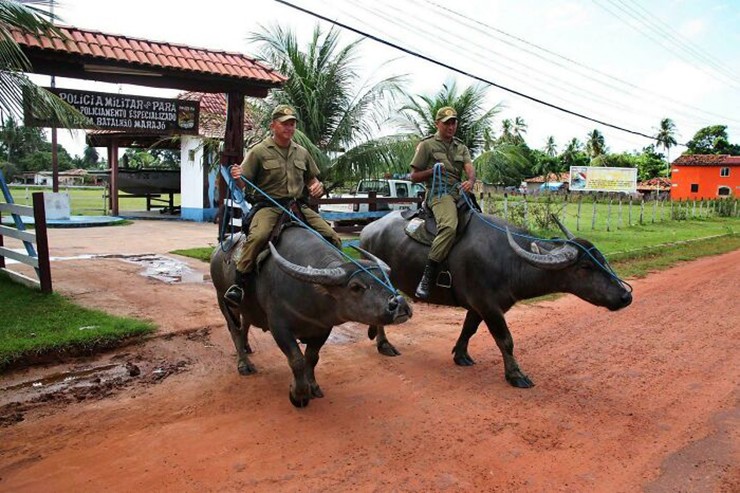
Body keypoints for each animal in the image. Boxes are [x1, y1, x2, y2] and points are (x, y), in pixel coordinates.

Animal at [211, 225, 414, 406]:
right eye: (355, 287)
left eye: (386, 278)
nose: (400, 304)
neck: (310, 292)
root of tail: (217, 253)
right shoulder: (279, 326)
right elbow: (297, 359)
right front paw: (299, 395)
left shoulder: (322, 327)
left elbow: (312, 357)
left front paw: (313, 386)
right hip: (223, 300)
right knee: (234, 330)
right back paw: (244, 364)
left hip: (246, 308)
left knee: (245, 324)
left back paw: (247, 348)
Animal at [358, 209, 632, 386]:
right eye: (586, 266)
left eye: (602, 259)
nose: (625, 296)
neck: (509, 260)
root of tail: (367, 231)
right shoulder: (489, 306)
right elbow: (505, 340)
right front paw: (516, 375)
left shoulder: (478, 306)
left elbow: (469, 329)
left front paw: (460, 355)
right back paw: (384, 345)